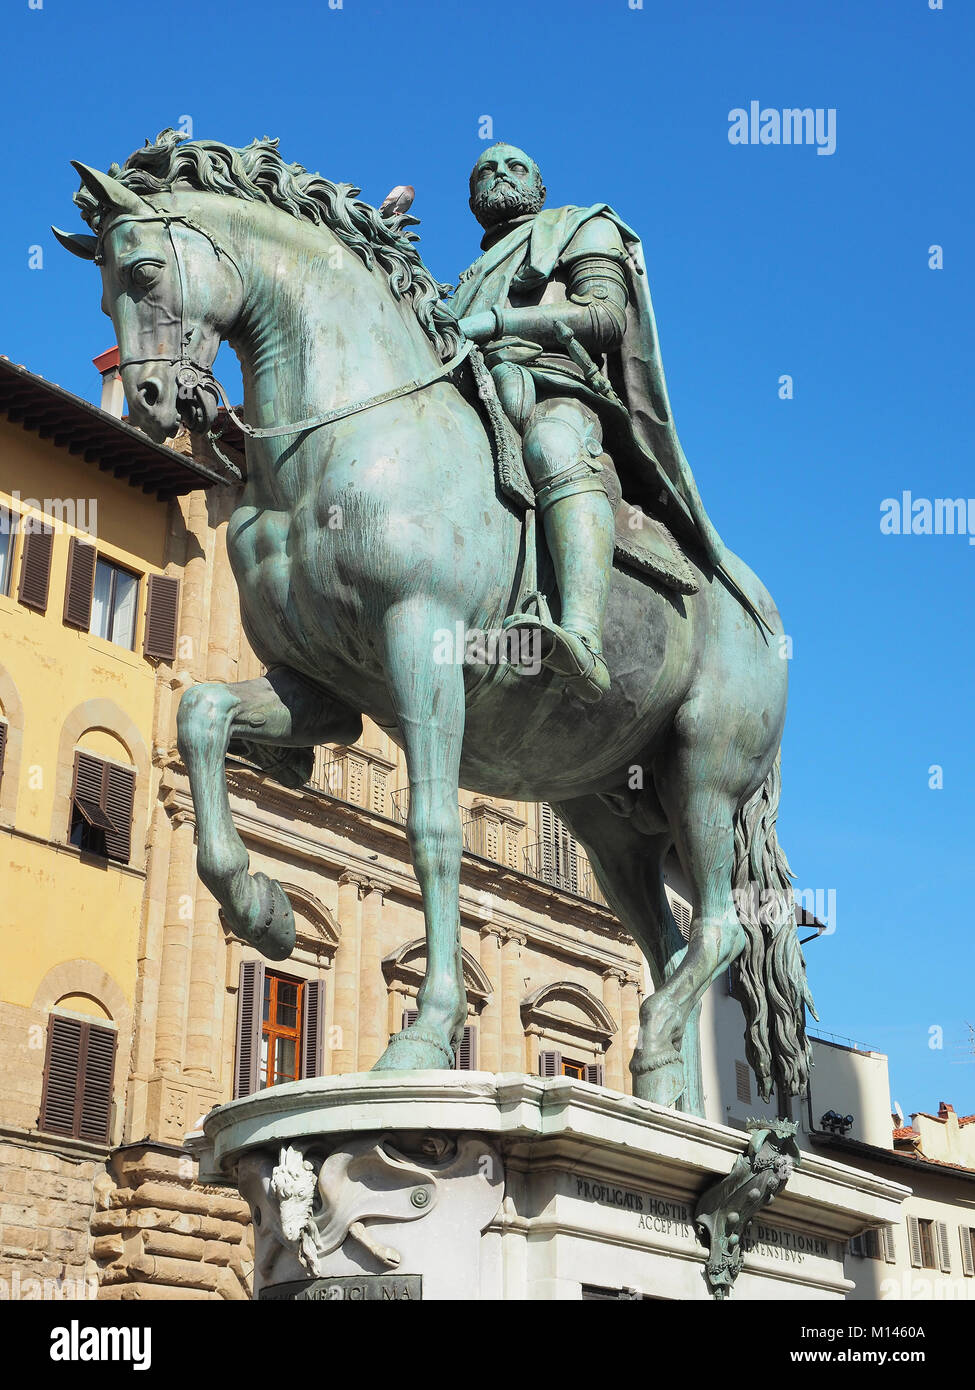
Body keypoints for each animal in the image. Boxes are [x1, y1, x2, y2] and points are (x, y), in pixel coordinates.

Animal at [53, 135, 812, 1112]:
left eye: (144, 270)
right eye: (105, 291)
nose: (154, 401)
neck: (342, 444)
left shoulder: (423, 645)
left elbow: (432, 835)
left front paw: (421, 1037)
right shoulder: (320, 688)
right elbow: (201, 718)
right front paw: (261, 910)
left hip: (703, 772)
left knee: (720, 930)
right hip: (607, 813)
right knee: (670, 943)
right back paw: (662, 1090)